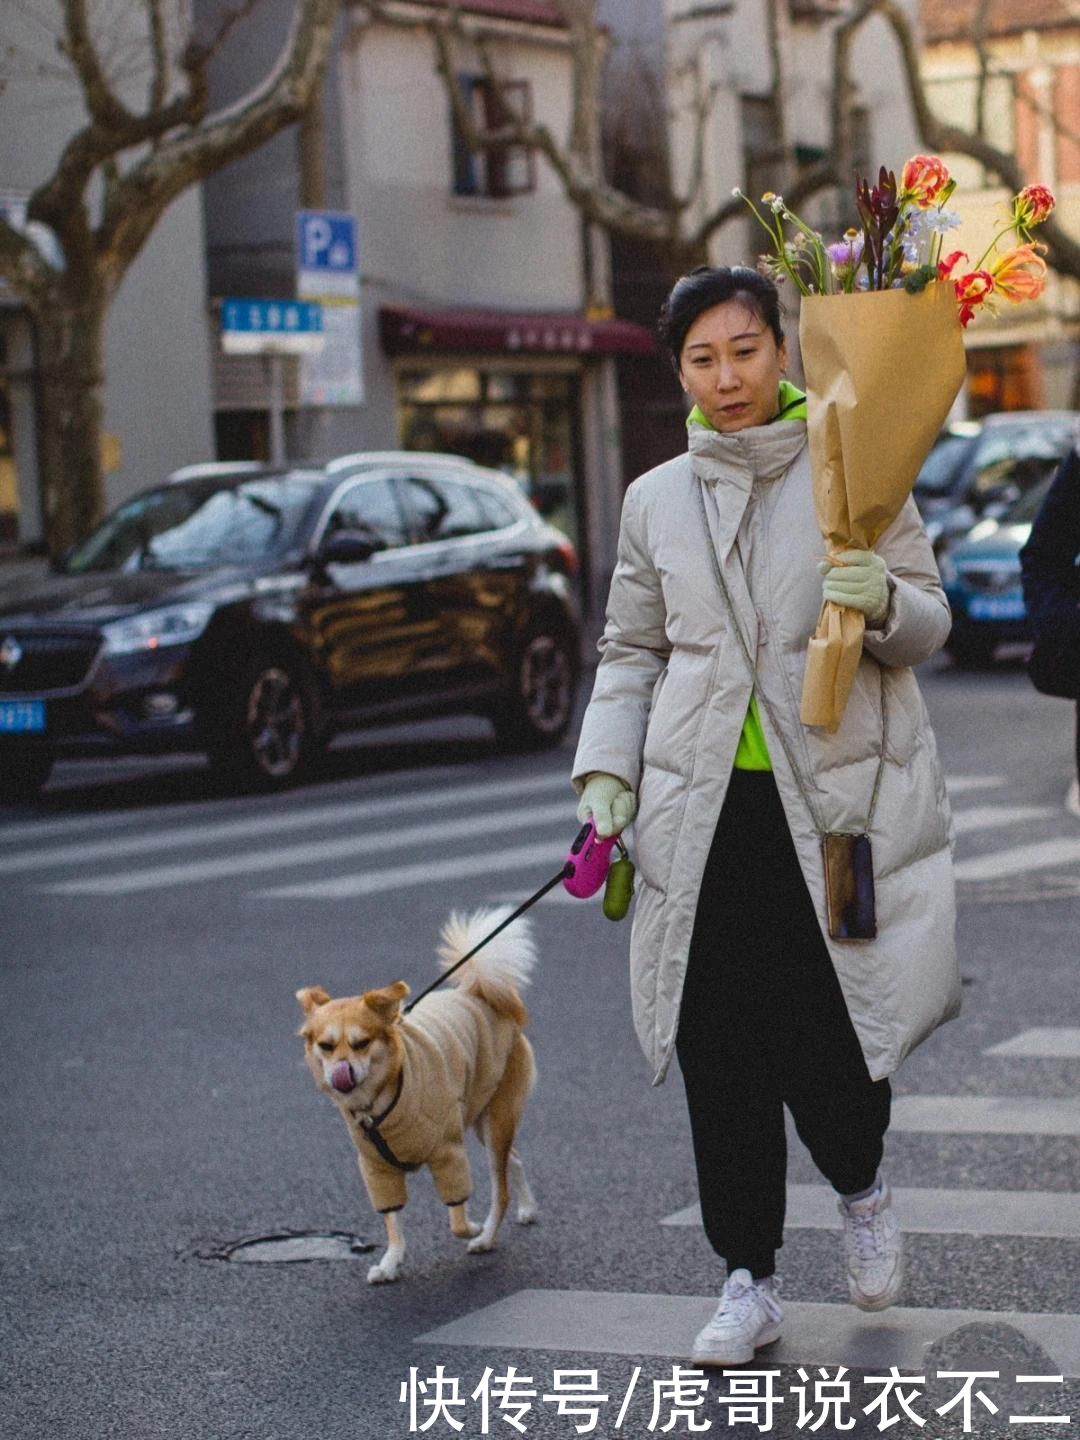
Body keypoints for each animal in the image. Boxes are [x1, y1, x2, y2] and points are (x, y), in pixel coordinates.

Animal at [298, 904, 538, 1290]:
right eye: (326, 1046)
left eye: (361, 1043)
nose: (340, 1074)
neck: (377, 1104)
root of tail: (478, 992)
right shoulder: (377, 1169)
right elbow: (392, 1222)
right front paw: (390, 1263)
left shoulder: (448, 1153)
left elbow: (456, 1220)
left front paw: (472, 1227)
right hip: (483, 1118)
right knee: (512, 1158)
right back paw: (527, 1208)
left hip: (495, 1115)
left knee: (500, 1187)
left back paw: (487, 1236)